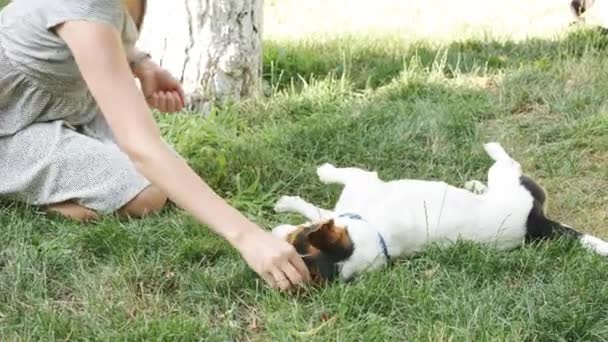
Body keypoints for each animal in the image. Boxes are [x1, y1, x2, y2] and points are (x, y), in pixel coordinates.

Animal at [270, 142, 608, 284]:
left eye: (296, 236)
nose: (272, 233)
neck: (377, 236)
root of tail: (539, 222)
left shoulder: (363, 181)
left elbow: (332, 183)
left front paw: (318, 175)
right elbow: (316, 209)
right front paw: (288, 203)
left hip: (508, 179)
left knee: (508, 162)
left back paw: (490, 149)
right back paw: (476, 184)